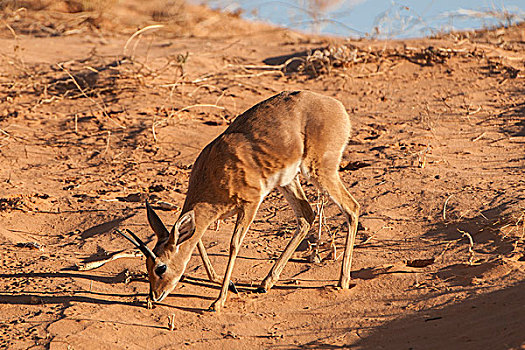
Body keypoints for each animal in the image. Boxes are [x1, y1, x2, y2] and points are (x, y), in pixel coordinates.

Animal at [117, 90, 358, 312]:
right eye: (146, 264)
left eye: (161, 268)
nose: (155, 295)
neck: (215, 172)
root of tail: (337, 106)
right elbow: (199, 241)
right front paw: (225, 283)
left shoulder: (250, 204)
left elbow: (233, 245)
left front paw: (218, 301)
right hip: (289, 181)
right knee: (307, 216)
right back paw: (265, 283)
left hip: (319, 171)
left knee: (352, 208)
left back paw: (343, 282)